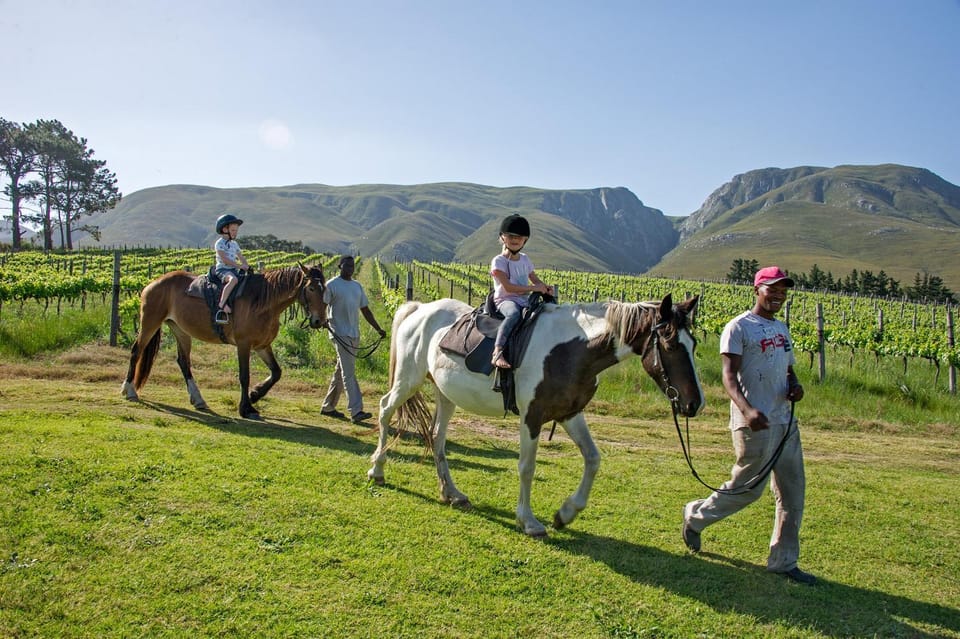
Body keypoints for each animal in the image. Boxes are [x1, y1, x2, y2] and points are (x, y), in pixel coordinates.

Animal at [121, 264, 328, 418]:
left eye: (324, 289)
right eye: (311, 288)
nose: (319, 321)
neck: (263, 303)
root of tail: (153, 283)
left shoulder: (262, 346)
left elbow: (276, 372)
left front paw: (255, 395)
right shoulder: (244, 345)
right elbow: (244, 376)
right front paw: (246, 408)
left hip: (181, 330)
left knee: (183, 362)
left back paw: (198, 399)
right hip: (150, 322)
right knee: (136, 351)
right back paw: (128, 390)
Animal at [367, 294, 704, 536]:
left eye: (694, 343)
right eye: (670, 344)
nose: (694, 404)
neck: (571, 350)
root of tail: (419, 309)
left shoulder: (570, 413)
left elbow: (593, 459)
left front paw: (565, 514)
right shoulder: (532, 416)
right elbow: (527, 467)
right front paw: (528, 521)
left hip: (445, 394)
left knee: (437, 437)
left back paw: (452, 493)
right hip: (408, 379)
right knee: (385, 409)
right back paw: (377, 470)